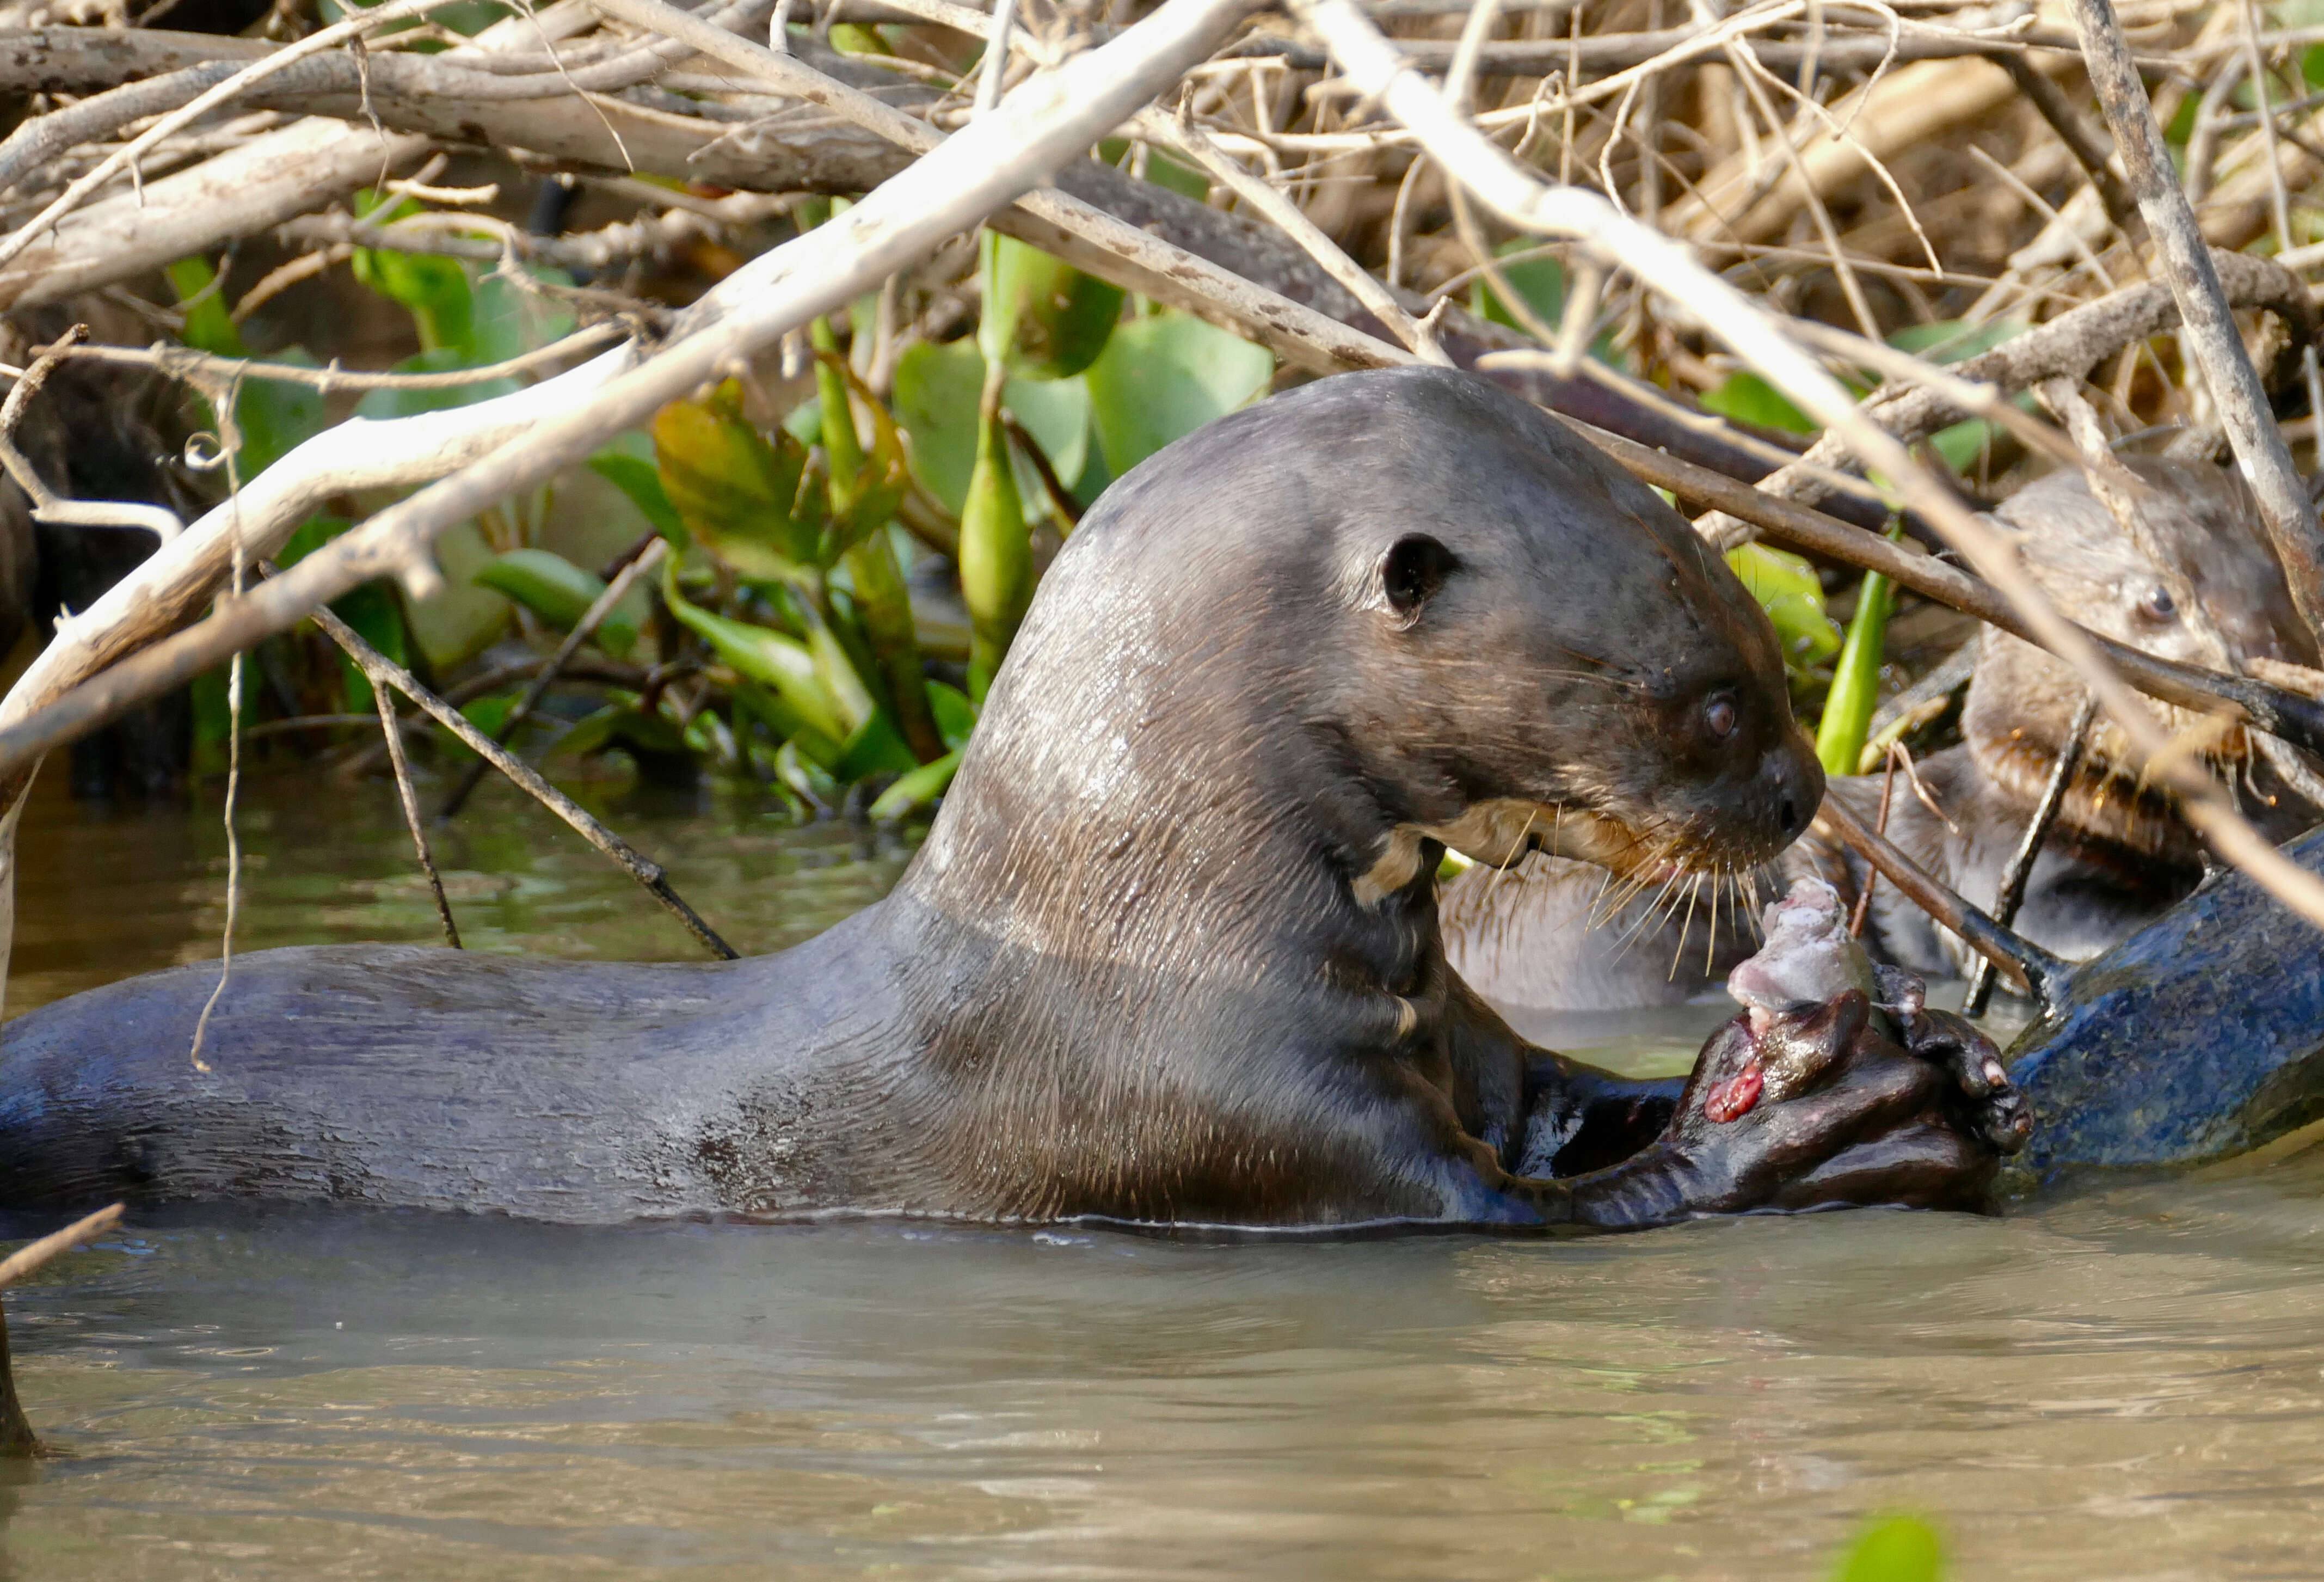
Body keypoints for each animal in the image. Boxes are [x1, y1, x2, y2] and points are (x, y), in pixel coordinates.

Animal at [0, 367, 2017, 1217]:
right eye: (1707, 700)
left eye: (1760, 644)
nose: (1802, 789)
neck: (1137, 936)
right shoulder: (1236, 1125)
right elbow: (1565, 1209)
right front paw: (1815, 1134)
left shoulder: (1455, 1044)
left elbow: (1566, 1102)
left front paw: (1940, 1048)